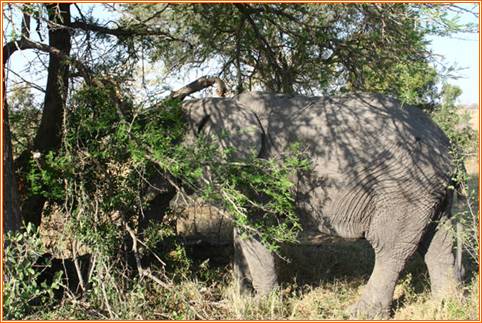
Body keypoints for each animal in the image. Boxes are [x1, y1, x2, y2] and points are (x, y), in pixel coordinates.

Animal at [182, 92, 464, 318]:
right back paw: (444, 306)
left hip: (405, 187)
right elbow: (241, 232)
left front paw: (262, 306)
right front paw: (240, 297)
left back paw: (359, 314)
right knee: (437, 242)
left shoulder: (257, 173)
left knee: (390, 246)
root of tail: (447, 143)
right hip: (430, 193)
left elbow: (255, 229)